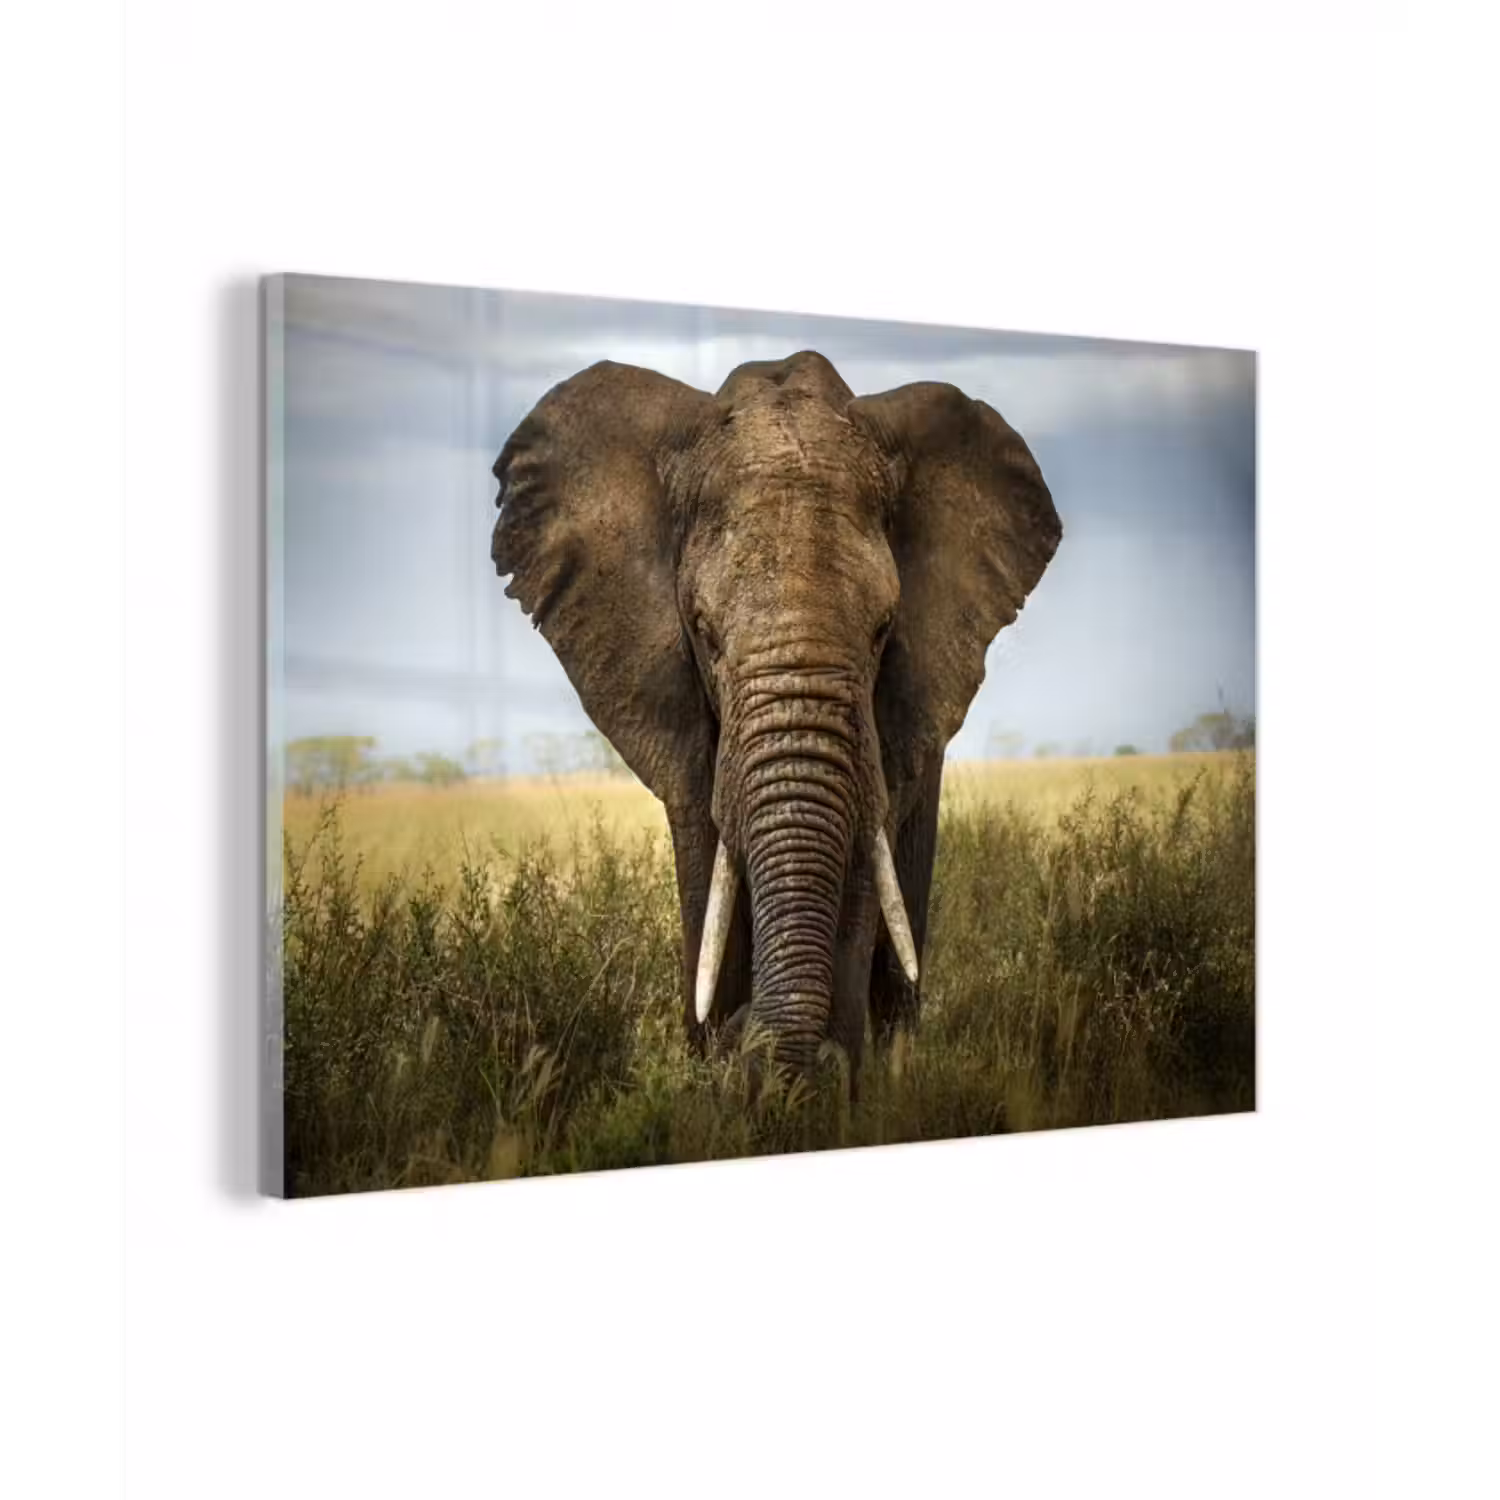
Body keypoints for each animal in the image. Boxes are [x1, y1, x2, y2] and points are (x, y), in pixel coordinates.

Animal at [490, 350, 1061, 1084]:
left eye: (884, 629)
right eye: (703, 631)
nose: (746, 1038)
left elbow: (861, 859)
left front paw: (820, 1083)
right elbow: (706, 864)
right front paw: (720, 1072)